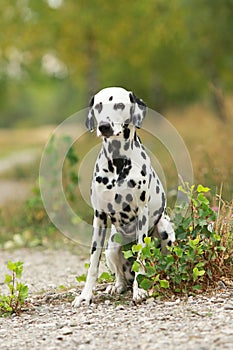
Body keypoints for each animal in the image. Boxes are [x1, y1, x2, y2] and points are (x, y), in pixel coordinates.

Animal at [73, 85, 175, 306]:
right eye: (98, 106)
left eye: (119, 105)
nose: (104, 126)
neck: (118, 162)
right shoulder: (99, 216)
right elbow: (92, 263)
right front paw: (85, 295)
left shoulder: (142, 215)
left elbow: (141, 256)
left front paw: (140, 290)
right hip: (111, 246)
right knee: (120, 274)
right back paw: (117, 286)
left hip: (165, 230)